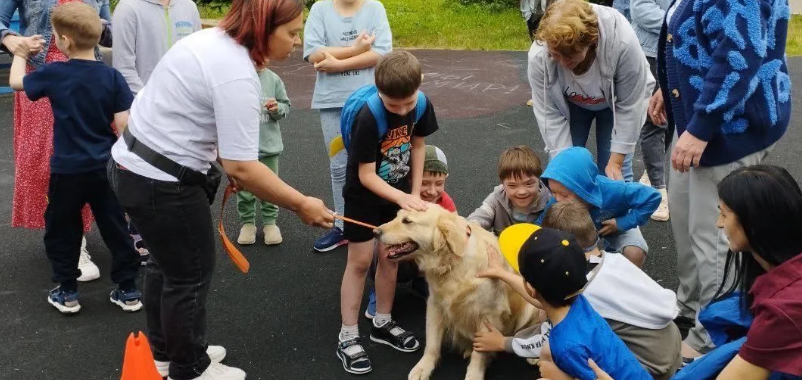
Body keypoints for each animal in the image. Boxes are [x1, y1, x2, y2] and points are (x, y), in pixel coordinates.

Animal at [374, 205, 536, 380]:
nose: (375, 232)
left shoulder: (488, 315)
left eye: (407, 221)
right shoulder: (435, 304)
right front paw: (423, 367)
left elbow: (480, 353)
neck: (452, 263)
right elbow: (432, 342)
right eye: (397, 216)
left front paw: (474, 374)